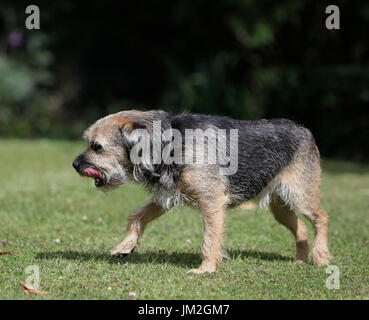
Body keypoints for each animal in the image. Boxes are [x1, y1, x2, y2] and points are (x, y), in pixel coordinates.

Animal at [72, 109, 330, 272]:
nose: (74, 164)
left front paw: (206, 269)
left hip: (301, 195)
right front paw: (125, 246)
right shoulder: (165, 196)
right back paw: (300, 260)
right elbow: (137, 216)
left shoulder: (212, 202)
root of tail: (305, 131)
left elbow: (210, 238)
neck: (170, 144)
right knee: (301, 228)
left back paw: (320, 256)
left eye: (96, 146)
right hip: (280, 207)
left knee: (321, 217)